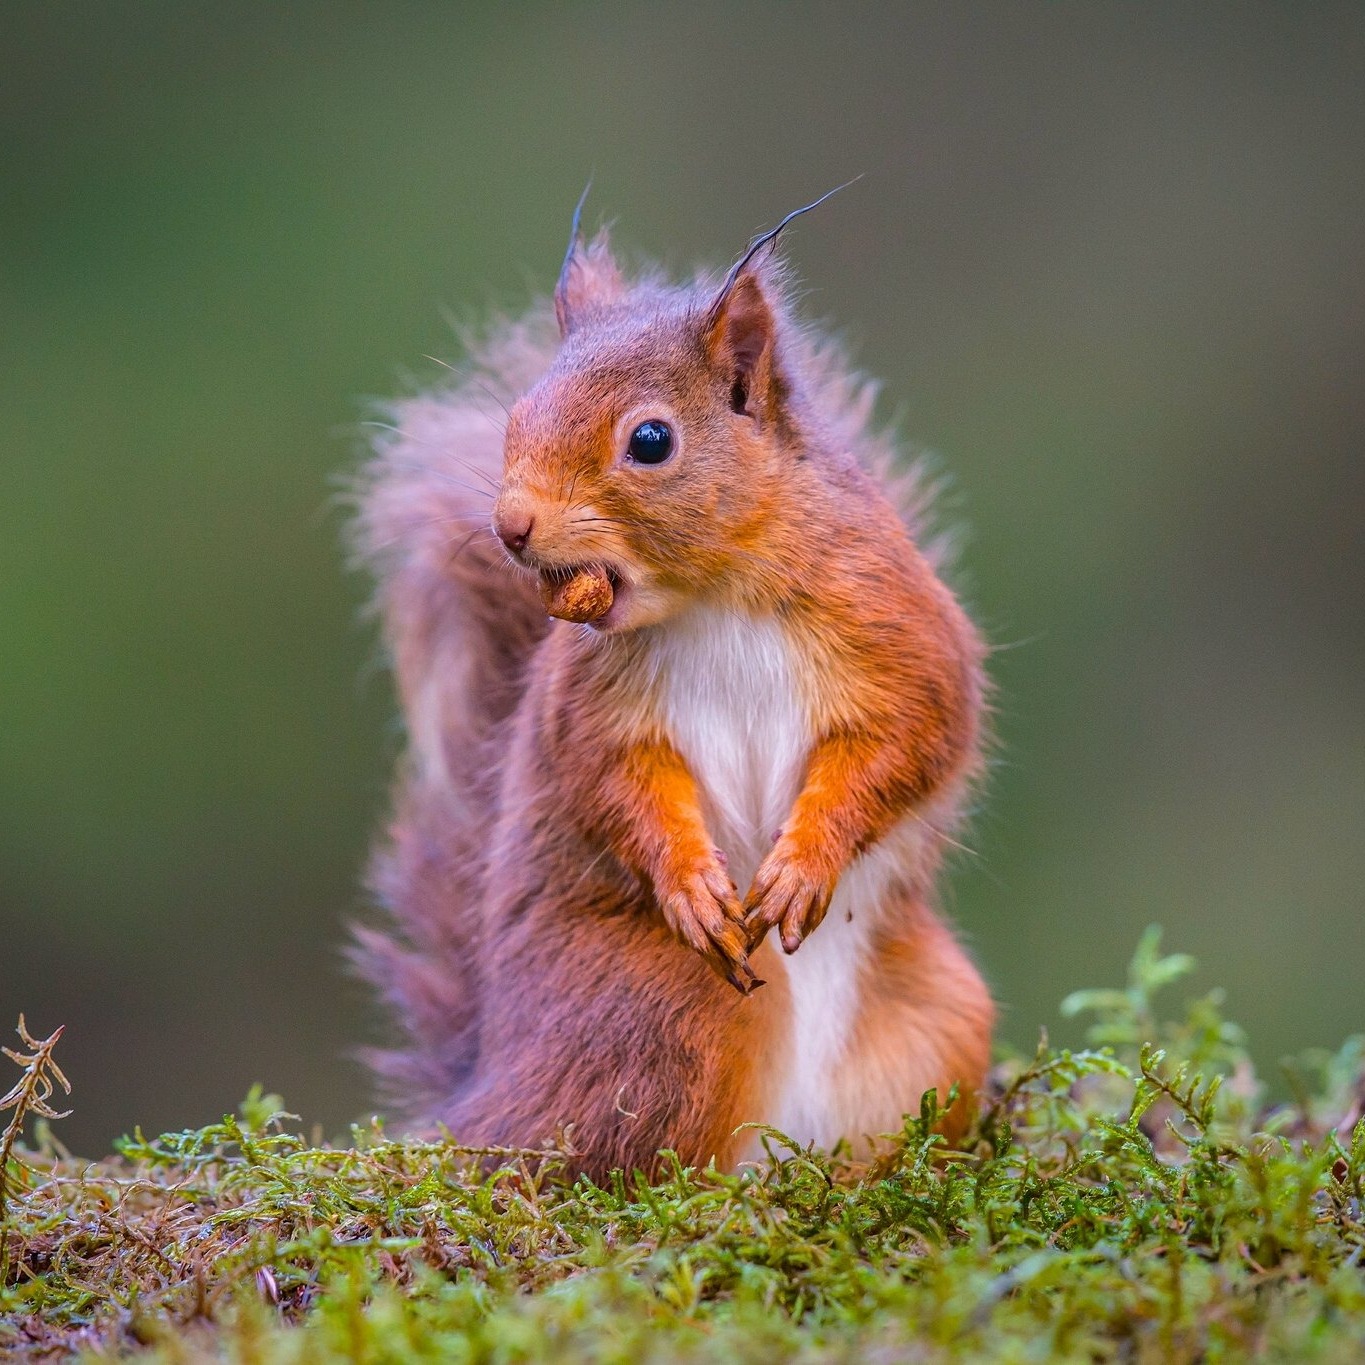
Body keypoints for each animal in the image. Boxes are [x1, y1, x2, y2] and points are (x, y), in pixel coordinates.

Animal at [352, 195, 993, 1184]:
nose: (509, 526)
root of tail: (484, 1089)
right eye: (517, 413)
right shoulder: (589, 702)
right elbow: (615, 781)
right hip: (669, 1006)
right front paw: (690, 884)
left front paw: (803, 864)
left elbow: (905, 739)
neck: (714, 593)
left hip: (939, 1017)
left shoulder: (896, 631)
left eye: (650, 441)